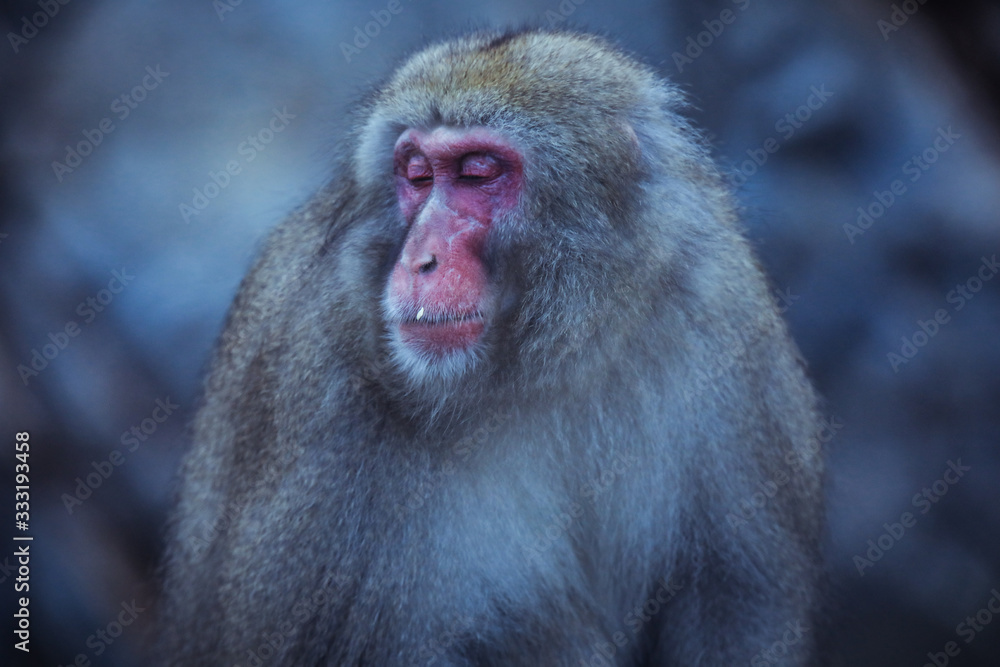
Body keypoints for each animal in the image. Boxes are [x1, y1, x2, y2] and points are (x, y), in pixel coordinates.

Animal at [156, 28, 824, 667]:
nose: (419, 258)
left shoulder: (721, 313)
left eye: (478, 172)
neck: (548, 362)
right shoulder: (320, 391)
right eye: (417, 173)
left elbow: (736, 600)